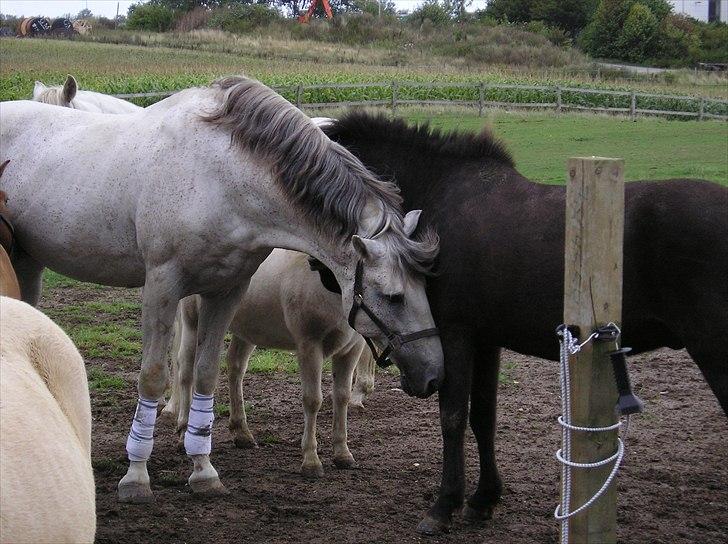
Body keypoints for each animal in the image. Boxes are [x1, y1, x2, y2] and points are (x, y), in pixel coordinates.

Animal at [164, 250, 376, 476]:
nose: (313, 262)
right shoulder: (309, 346)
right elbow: (312, 400)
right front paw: (311, 461)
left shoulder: (351, 350)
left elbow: (342, 398)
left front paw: (343, 454)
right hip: (193, 322)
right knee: (186, 371)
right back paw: (183, 433)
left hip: (246, 328)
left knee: (235, 365)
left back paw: (242, 433)